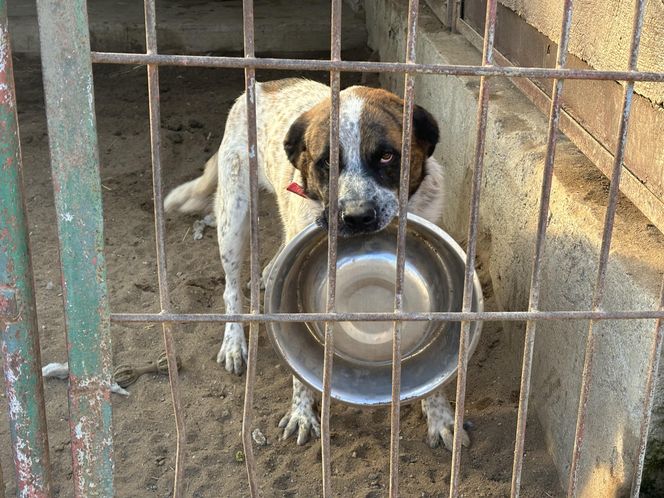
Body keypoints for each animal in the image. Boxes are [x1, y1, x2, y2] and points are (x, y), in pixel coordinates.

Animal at [163, 78, 470, 448]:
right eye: (326, 163)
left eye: (386, 155)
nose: (356, 217)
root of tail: (263, 84)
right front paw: (301, 412)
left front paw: (440, 416)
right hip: (233, 217)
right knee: (231, 289)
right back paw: (234, 341)